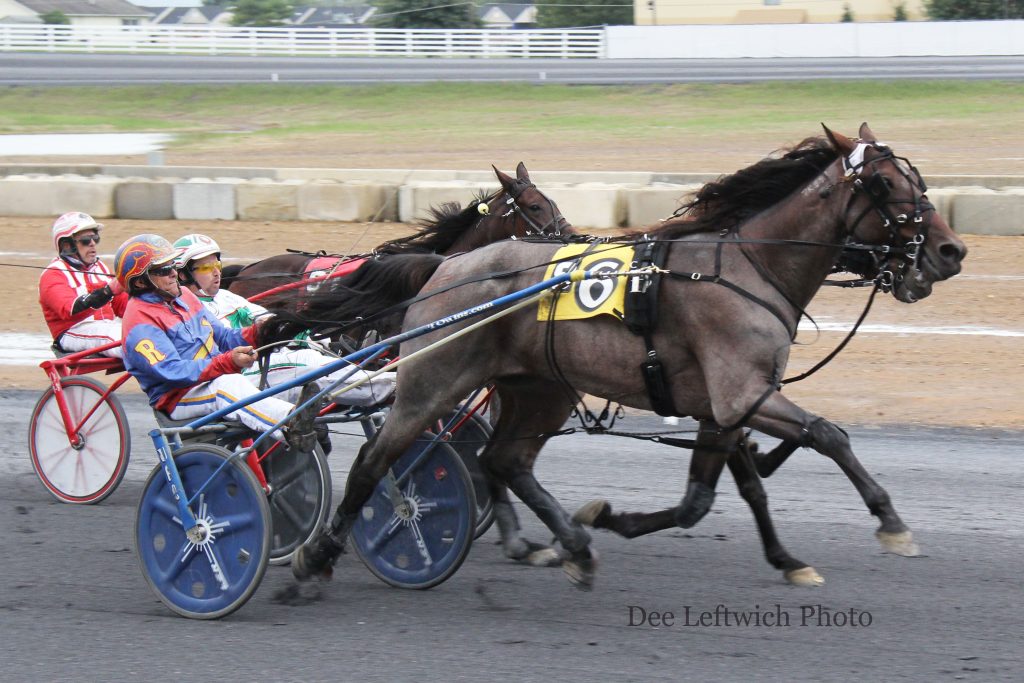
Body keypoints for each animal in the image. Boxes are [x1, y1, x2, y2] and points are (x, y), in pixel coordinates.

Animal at [280, 125, 966, 589]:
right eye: (884, 183)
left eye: (917, 179)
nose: (951, 251)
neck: (749, 267)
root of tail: (447, 267)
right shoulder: (743, 395)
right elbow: (829, 434)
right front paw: (890, 522)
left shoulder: (723, 409)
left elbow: (710, 497)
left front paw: (782, 559)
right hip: (433, 380)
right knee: (376, 459)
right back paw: (317, 557)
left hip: (539, 389)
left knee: (502, 460)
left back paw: (562, 544)